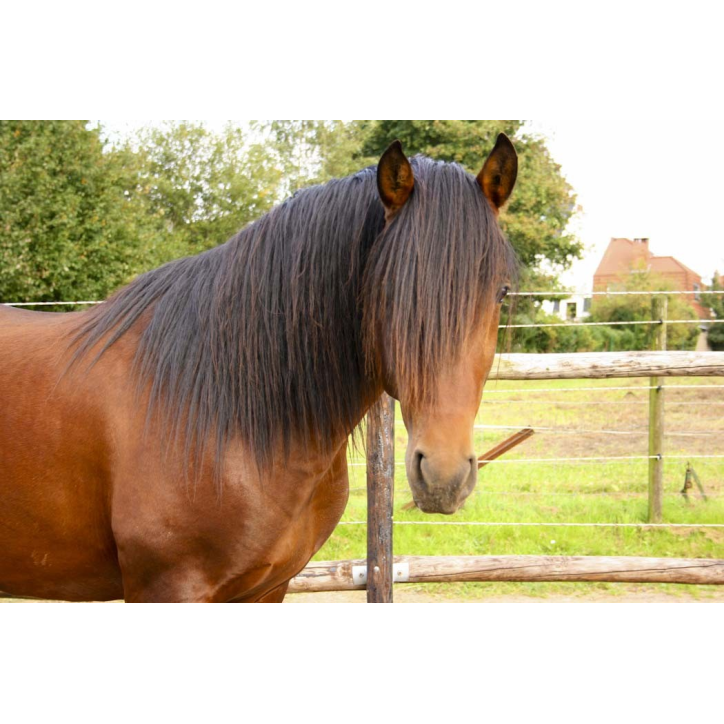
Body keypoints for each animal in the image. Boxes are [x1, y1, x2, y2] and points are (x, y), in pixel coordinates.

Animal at [0, 135, 518, 602]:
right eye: (387, 289)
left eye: (502, 292)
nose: (444, 476)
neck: (222, 403)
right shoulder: (168, 587)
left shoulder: (267, 588)